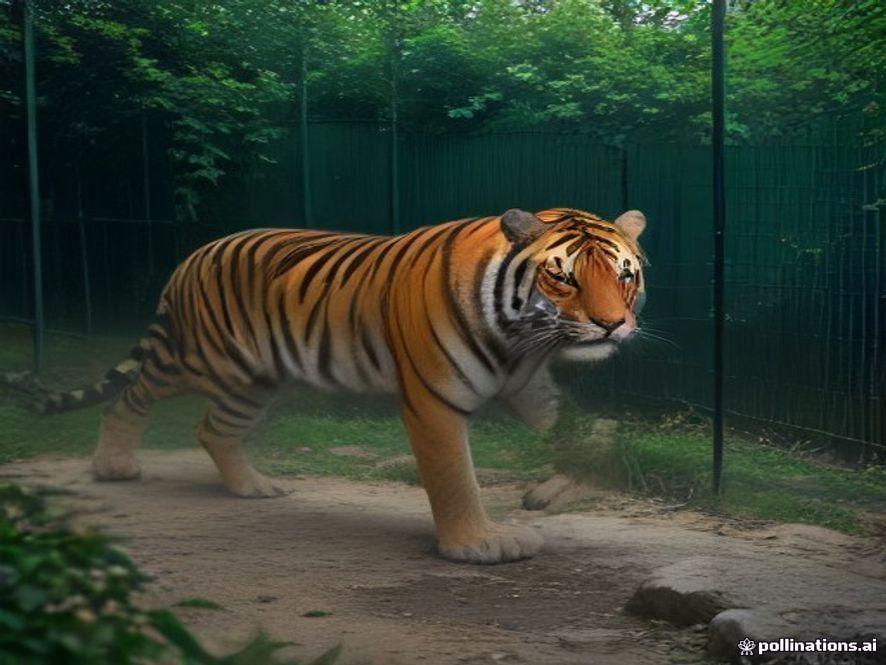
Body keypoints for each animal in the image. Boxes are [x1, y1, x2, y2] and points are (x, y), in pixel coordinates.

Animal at [38, 207, 647, 564]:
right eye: (562, 275)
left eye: (624, 274)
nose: (611, 325)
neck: (521, 337)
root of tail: (193, 255)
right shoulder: (435, 398)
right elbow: (454, 477)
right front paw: (478, 544)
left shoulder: (529, 385)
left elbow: (571, 422)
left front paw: (601, 453)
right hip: (196, 359)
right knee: (131, 396)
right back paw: (114, 465)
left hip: (252, 379)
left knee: (212, 429)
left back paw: (253, 487)